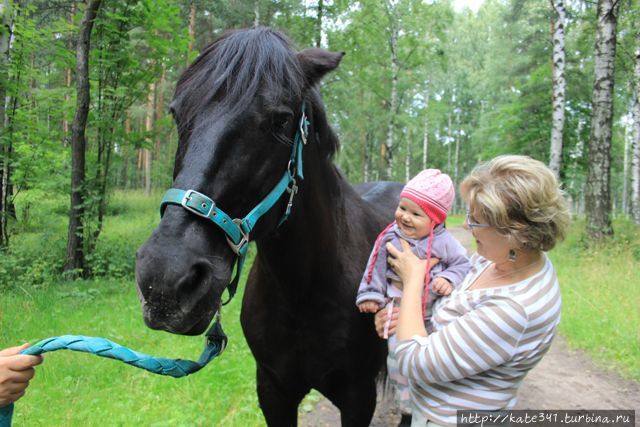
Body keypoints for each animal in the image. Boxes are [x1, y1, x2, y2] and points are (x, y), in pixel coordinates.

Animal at [136, 28, 400, 426]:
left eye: (281, 119)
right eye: (176, 112)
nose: (165, 278)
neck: (301, 290)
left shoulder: (359, 396)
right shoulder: (273, 390)